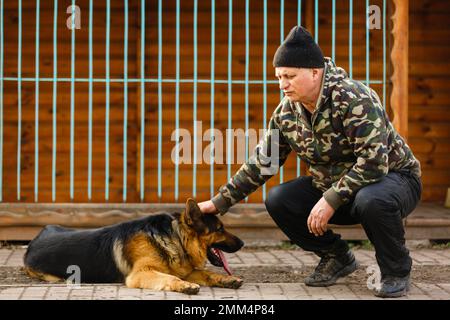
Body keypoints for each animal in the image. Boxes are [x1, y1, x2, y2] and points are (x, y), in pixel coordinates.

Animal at [23, 199, 244, 294]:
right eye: (220, 229)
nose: (242, 243)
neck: (175, 237)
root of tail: (35, 239)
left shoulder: (186, 270)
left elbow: (208, 274)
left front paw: (227, 279)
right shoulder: (141, 273)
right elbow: (170, 277)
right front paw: (184, 286)